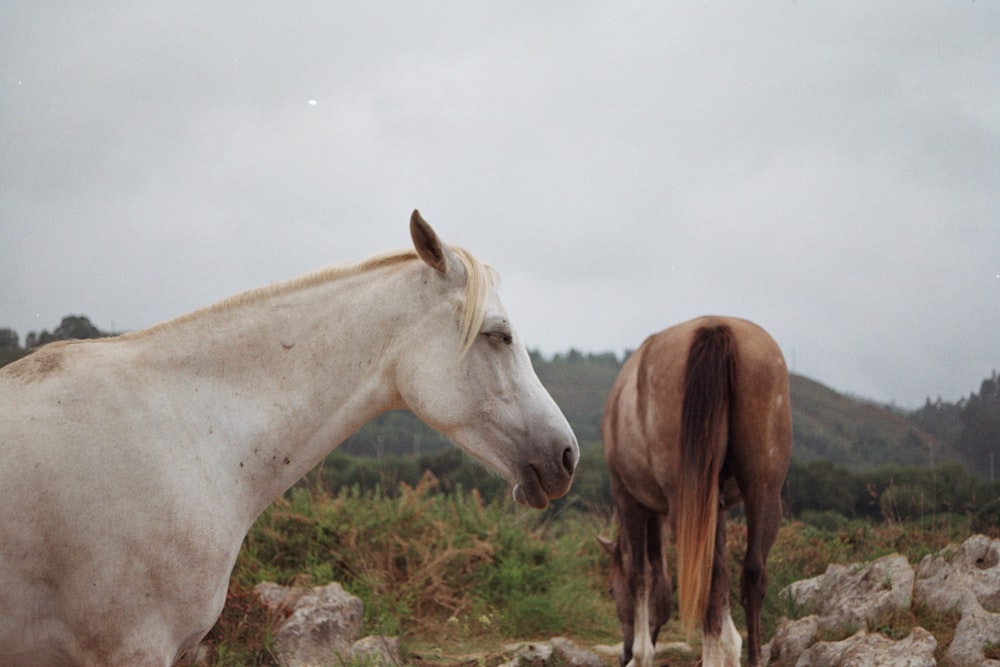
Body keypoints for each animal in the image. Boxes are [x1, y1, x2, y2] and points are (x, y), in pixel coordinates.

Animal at [596, 318, 792, 667]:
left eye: (610, 591)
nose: (623, 653)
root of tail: (717, 326)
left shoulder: (630, 501)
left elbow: (642, 575)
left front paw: (642, 654)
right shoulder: (717, 508)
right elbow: (720, 576)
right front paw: (731, 646)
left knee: (705, 581)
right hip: (764, 492)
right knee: (751, 574)